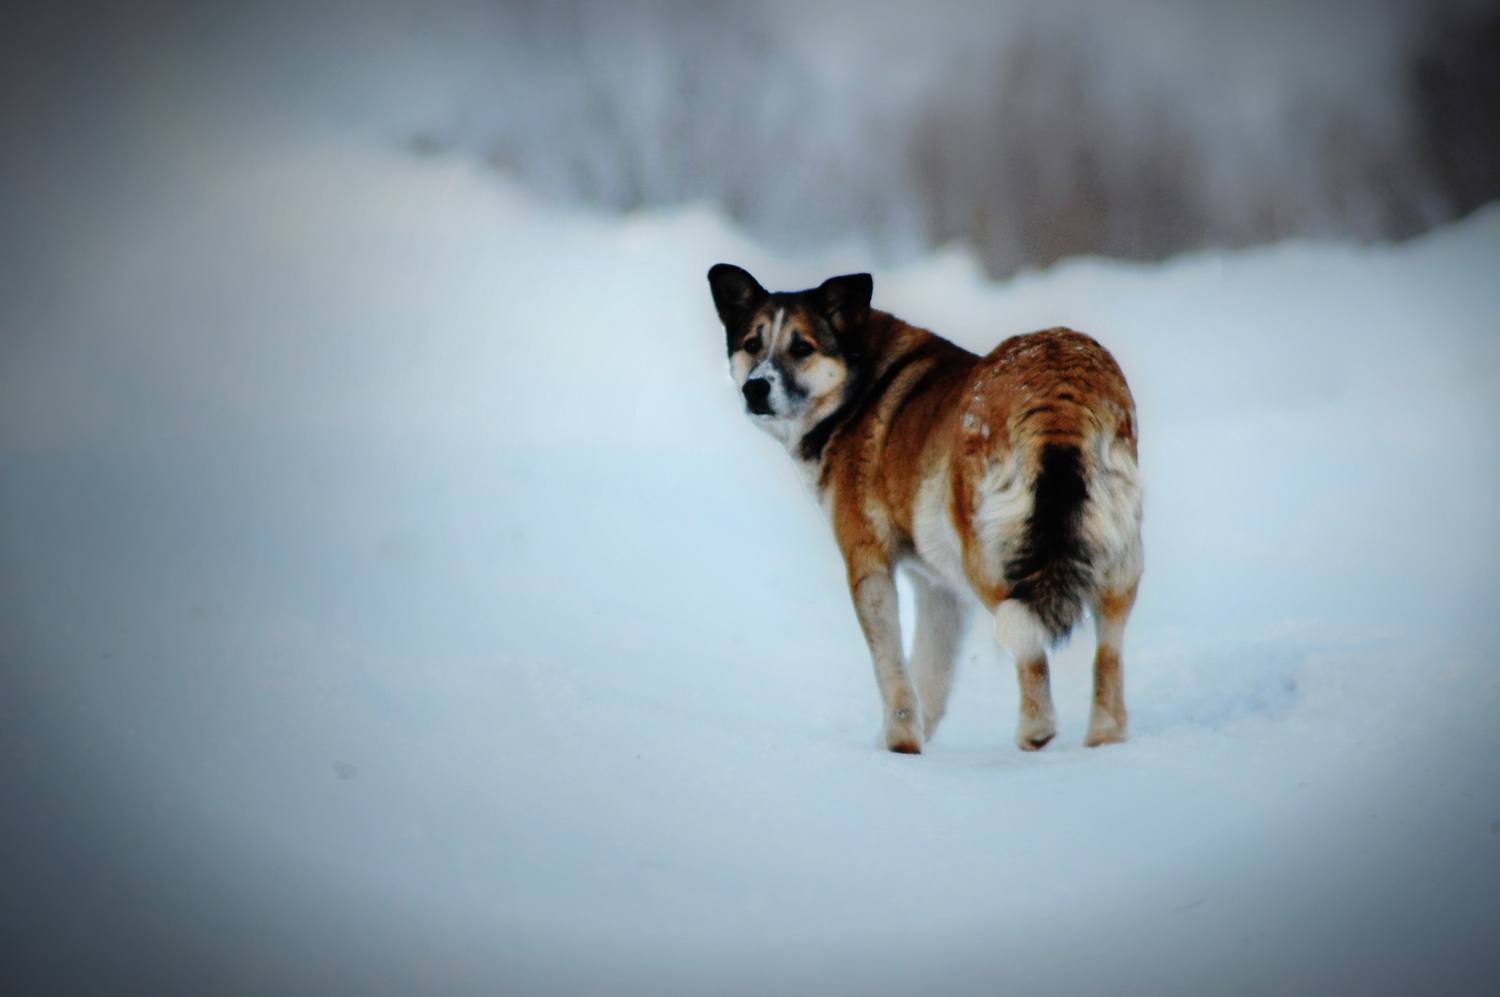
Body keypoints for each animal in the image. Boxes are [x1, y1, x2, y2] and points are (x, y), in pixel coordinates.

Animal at [708, 263, 1140, 755]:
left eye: (802, 348)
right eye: (751, 344)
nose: (755, 388)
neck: (858, 390)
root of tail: (1059, 384)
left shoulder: (869, 565)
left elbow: (893, 669)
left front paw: (899, 745)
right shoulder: (940, 589)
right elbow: (930, 676)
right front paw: (908, 745)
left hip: (993, 560)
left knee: (1031, 652)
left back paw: (1036, 731)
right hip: (1116, 558)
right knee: (1109, 654)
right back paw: (1105, 741)